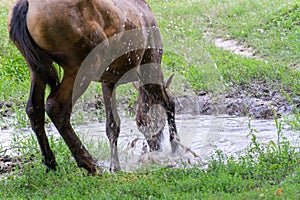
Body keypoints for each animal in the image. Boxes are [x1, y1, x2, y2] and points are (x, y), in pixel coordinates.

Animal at [8, 0, 179, 174]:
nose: (156, 147)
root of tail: (24, 5)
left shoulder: (109, 80)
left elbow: (112, 124)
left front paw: (115, 166)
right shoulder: (150, 62)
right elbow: (168, 102)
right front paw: (176, 148)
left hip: (36, 68)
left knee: (34, 108)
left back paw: (51, 163)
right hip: (81, 66)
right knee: (56, 106)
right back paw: (89, 164)